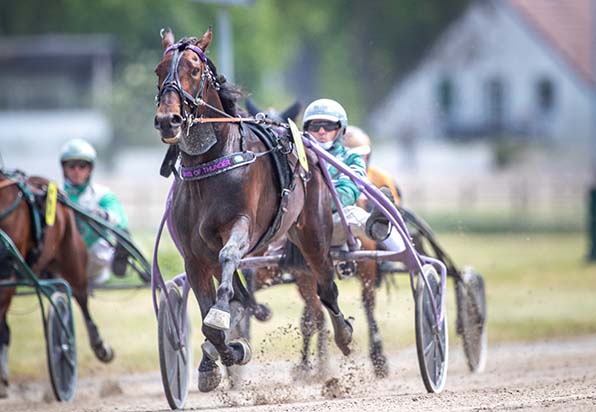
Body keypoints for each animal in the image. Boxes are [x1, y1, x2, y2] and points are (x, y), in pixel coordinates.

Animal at [154, 29, 354, 392]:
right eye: (158, 70)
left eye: (194, 69)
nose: (167, 120)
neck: (211, 164)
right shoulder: (195, 256)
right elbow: (210, 311)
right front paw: (221, 356)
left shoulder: (241, 226)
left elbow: (229, 262)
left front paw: (223, 329)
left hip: (313, 232)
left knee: (325, 288)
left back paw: (343, 334)